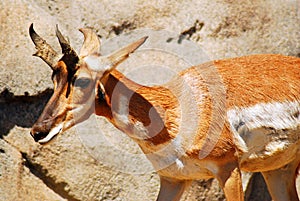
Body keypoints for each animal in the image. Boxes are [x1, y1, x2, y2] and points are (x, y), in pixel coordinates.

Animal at [28, 24, 300, 201]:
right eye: (54, 77)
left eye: (83, 80)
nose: (38, 131)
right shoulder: (173, 180)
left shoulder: (228, 169)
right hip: (278, 171)